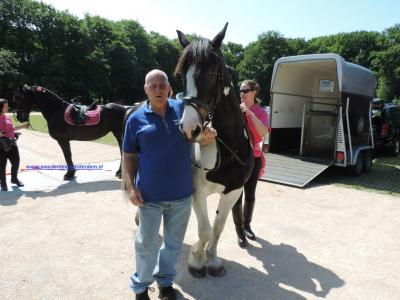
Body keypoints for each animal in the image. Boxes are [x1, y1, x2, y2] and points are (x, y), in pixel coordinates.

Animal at [174, 24, 253, 278]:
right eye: (182, 74)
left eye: (210, 72)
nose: (189, 128)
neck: (228, 147)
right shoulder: (197, 191)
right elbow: (205, 229)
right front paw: (196, 260)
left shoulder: (233, 192)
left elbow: (218, 227)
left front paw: (212, 259)